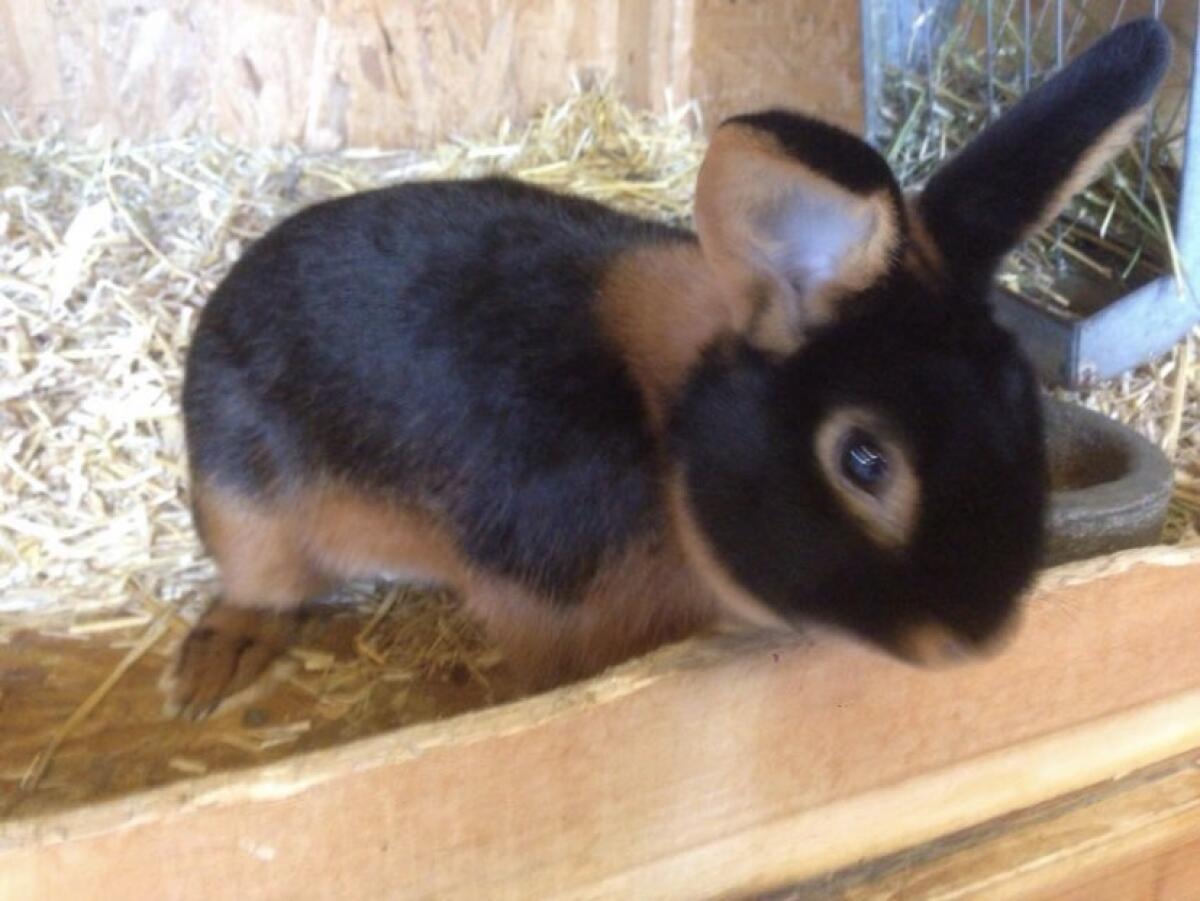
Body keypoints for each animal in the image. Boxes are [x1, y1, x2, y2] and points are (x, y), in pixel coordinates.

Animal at [171, 18, 1169, 717]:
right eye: (863, 460)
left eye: (1025, 414)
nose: (977, 639)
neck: (667, 440)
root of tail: (224, 305)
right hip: (246, 500)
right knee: (258, 583)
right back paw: (213, 666)